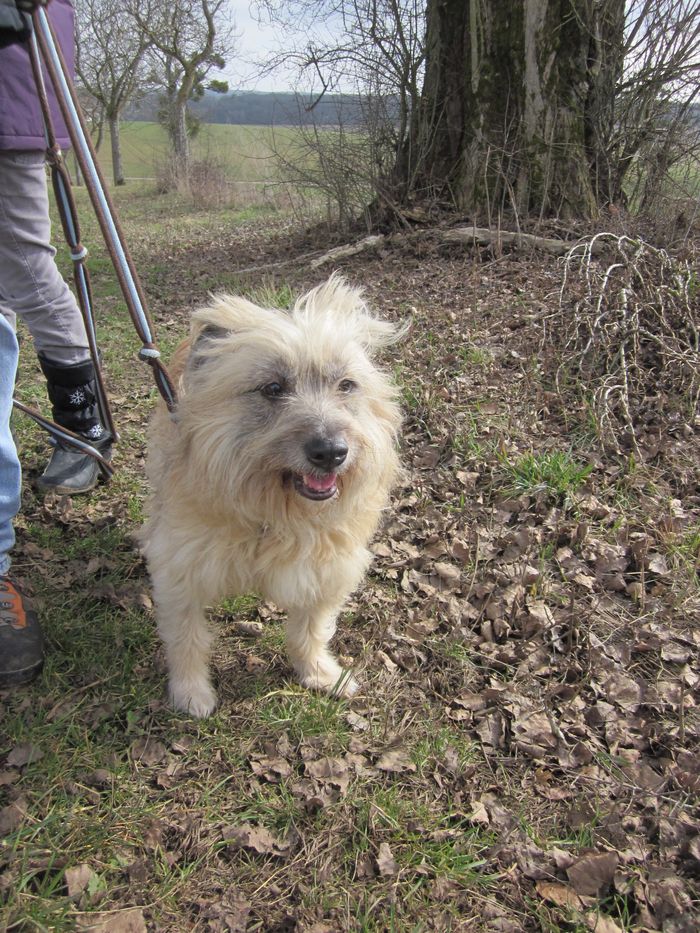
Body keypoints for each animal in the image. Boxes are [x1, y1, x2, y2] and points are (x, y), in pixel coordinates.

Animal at [141, 274, 404, 716]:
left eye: (346, 385)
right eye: (273, 388)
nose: (331, 453)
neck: (274, 514)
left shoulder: (326, 571)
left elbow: (311, 630)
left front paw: (319, 673)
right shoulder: (182, 571)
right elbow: (187, 639)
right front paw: (191, 692)